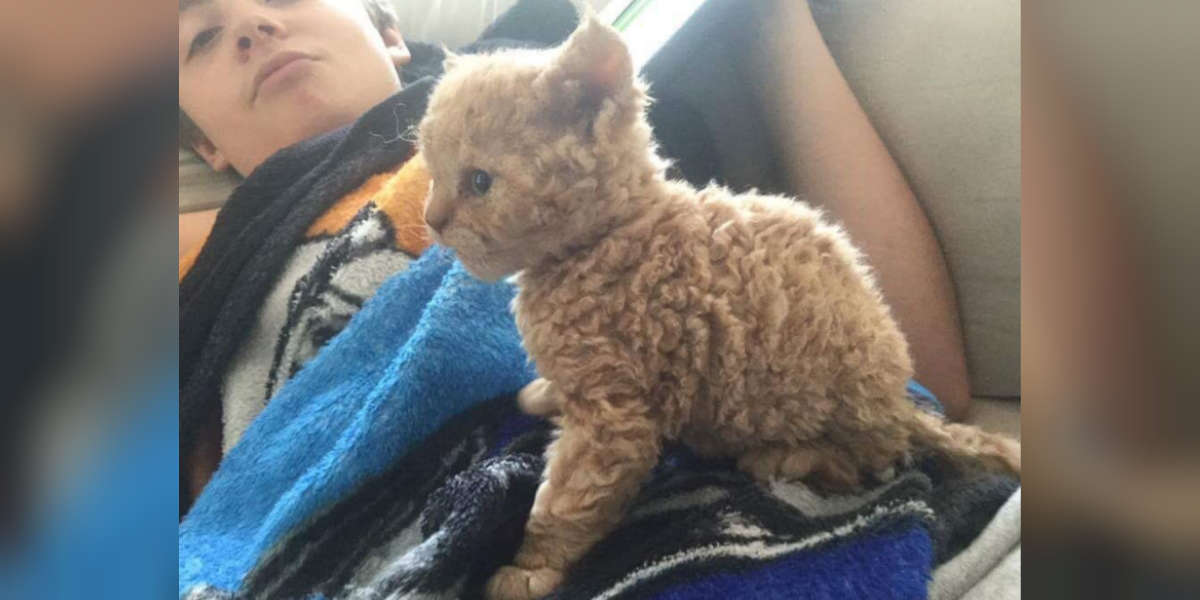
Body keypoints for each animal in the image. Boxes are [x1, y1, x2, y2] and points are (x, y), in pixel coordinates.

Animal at [417, 16, 1017, 597]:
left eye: (479, 182)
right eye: (432, 172)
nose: (431, 218)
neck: (607, 236)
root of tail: (900, 403)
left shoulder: (614, 424)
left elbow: (567, 500)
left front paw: (530, 569)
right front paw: (545, 392)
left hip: (835, 411)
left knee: (860, 465)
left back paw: (785, 456)